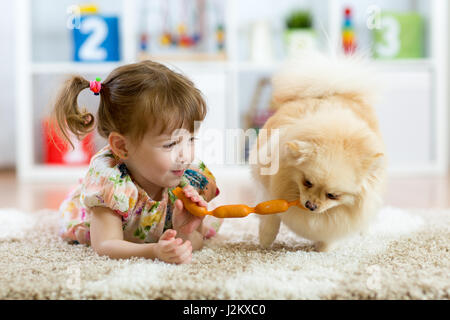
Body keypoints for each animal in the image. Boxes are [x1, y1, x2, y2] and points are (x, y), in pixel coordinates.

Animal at [250, 53, 386, 252]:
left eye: (333, 195)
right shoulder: (267, 184)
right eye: (307, 182)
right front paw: (265, 240)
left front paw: (322, 250)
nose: (311, 205)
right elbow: (271, 216)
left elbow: (329, 236)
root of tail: (333, 89)